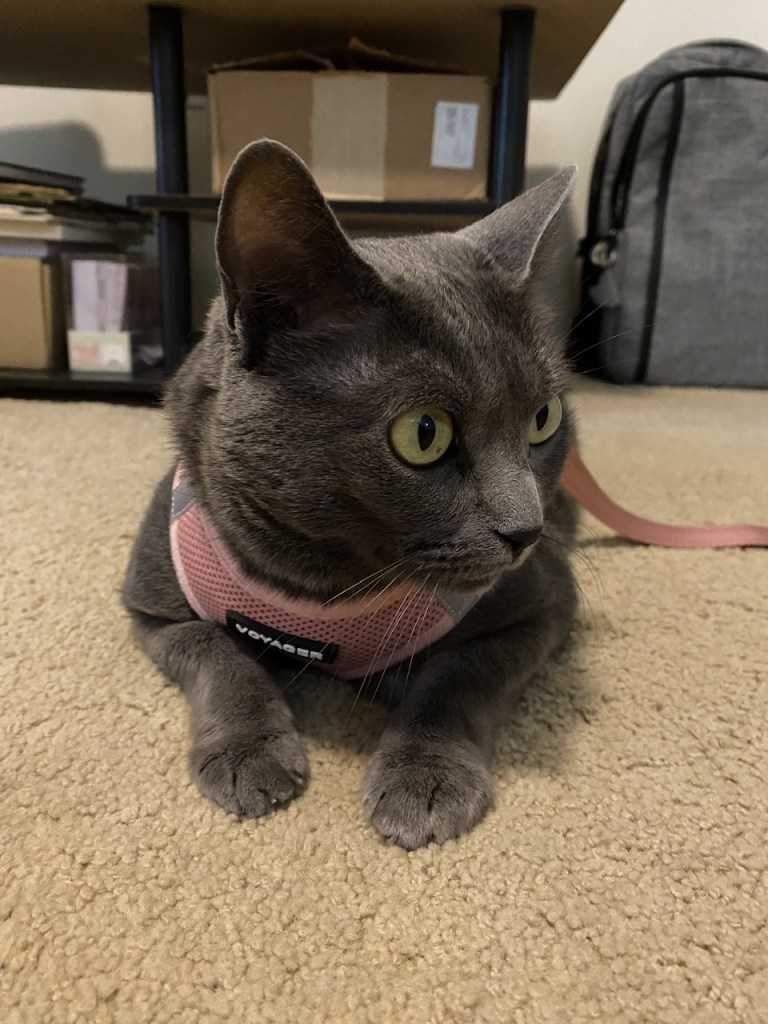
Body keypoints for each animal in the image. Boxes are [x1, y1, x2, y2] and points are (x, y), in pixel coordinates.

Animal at [122, 140, 578, 850]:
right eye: (424, 433)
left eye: (544, 418)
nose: (524, 530)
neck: (323, 584)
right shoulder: (150, 607)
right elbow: (217, 654)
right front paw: (248, 755)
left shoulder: (546, 606)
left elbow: (457, 676)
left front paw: (424, 780)